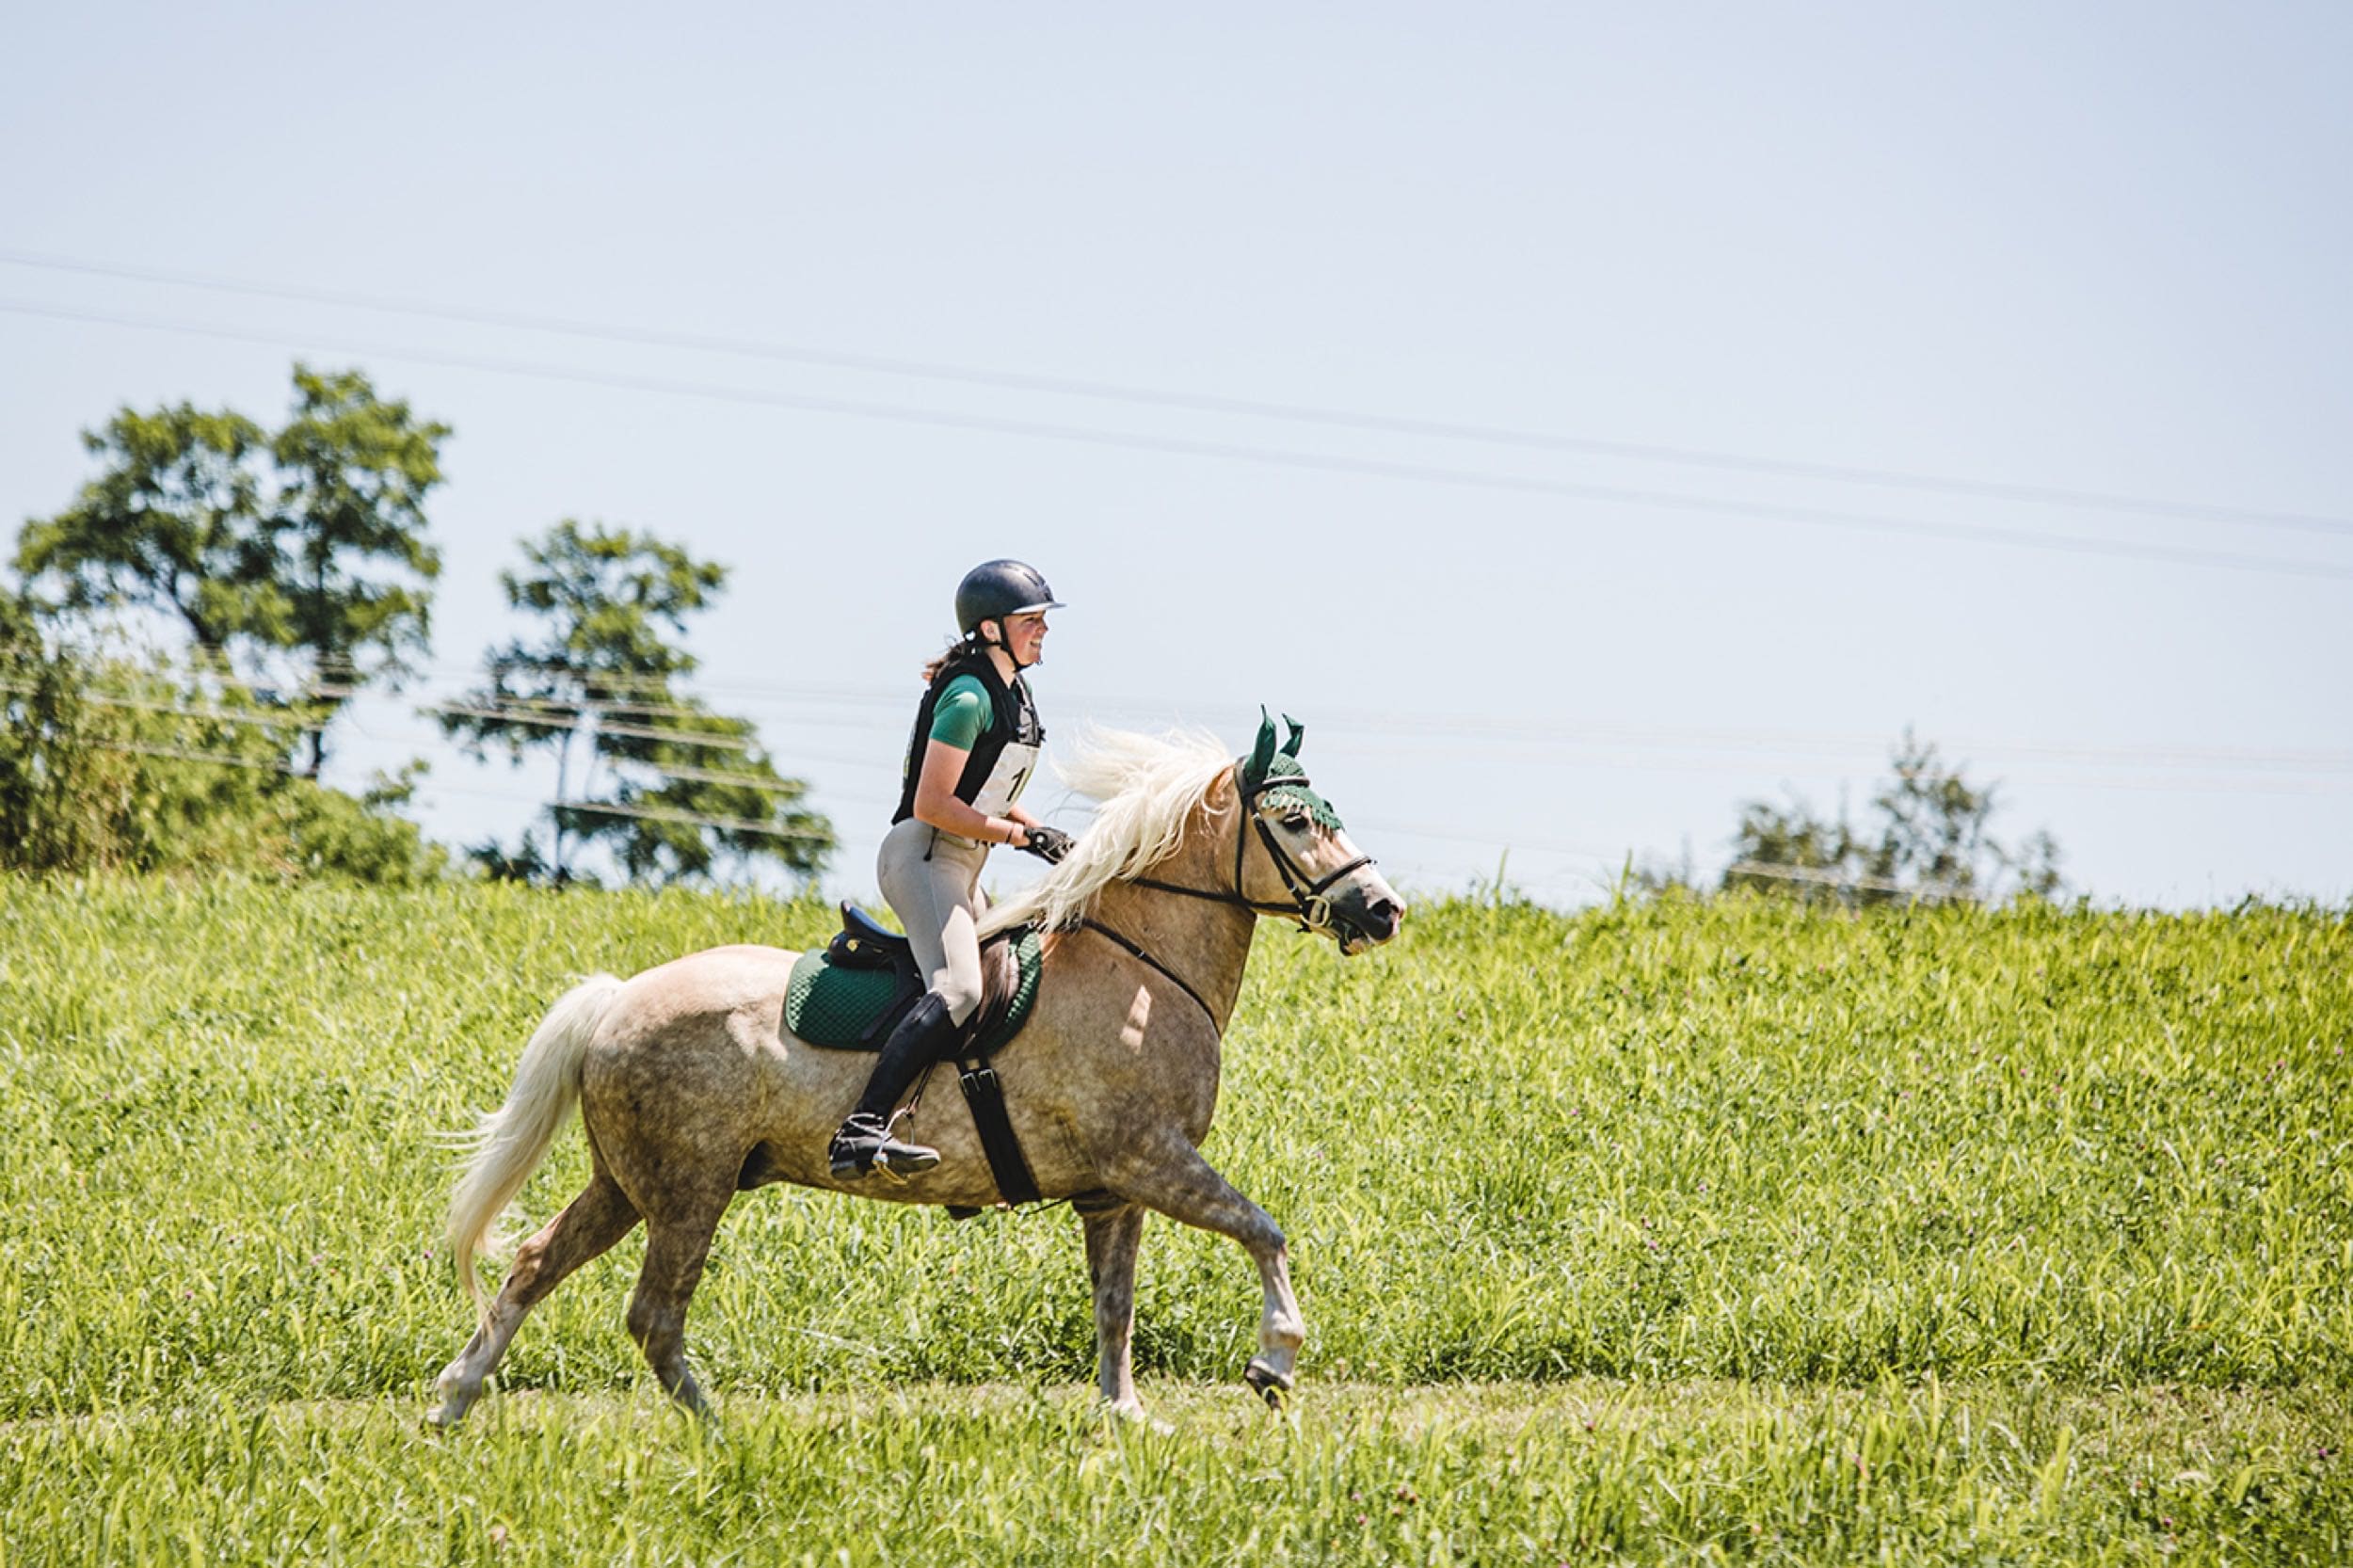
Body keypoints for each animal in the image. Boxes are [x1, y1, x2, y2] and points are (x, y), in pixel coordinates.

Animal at [435, 715, 1402, 1421]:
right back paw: (718, 1433)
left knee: (534, 1264)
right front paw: (1274, 1360)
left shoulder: (1114, 1191)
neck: (1142, 965)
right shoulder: (1151, 1159)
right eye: (1294, 823)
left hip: (628, 1184)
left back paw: (454, 1401)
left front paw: (1126, 1419)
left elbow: (1116, 1305)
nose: (1385, 909)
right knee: (653, 1317)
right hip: (687, 1191)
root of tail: (616, 1000)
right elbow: (1264, 1232)